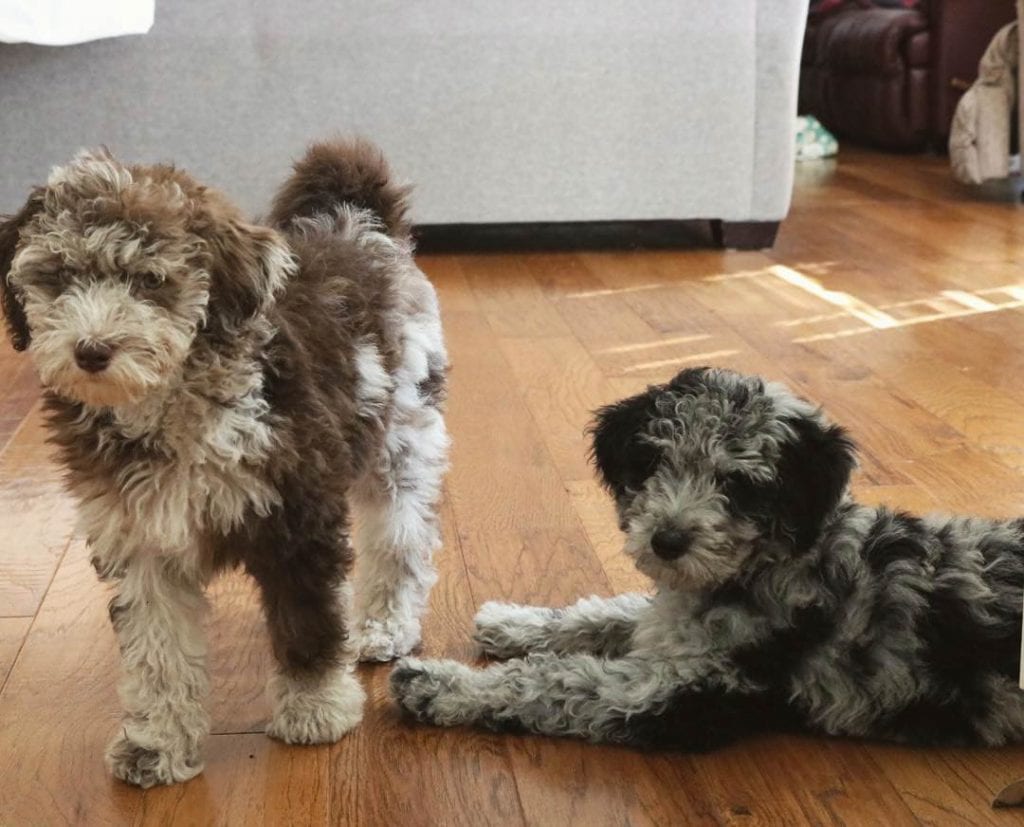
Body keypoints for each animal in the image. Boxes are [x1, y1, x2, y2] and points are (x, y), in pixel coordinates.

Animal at [0, 142, 448, 790]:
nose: (91, 351)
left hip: (402, 433)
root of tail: (359, 226)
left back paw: (384, 626)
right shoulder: (141, 542)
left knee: (399, 539)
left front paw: (315, 707)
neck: (173, 401)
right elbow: (158, 653)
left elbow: (307, 622)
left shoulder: (296, 518)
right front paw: (156, 743)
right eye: (58, 277)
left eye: (150, 280)